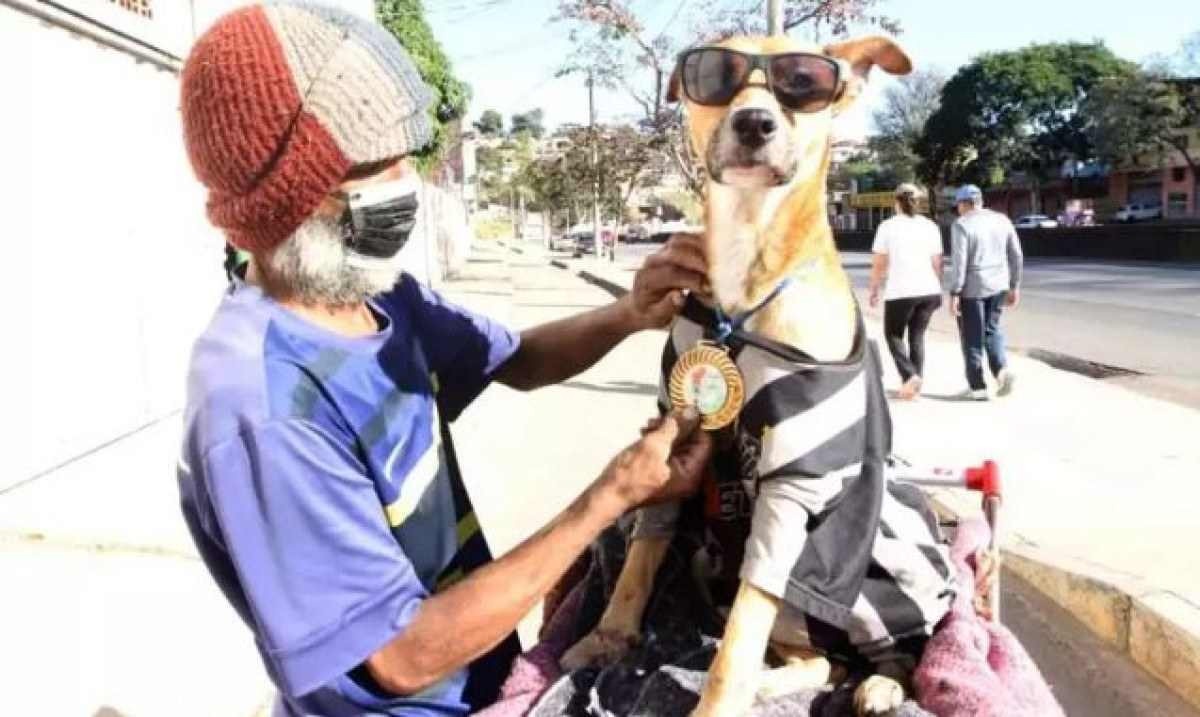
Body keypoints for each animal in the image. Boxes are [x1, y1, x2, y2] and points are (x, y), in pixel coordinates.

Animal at [559, 35, 955, 717]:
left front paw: (716, 703)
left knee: (882, 651)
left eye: (804, 82)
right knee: (819, 659)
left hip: (864, 577)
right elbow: (642, 551)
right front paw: (608, 638)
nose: (754, 123)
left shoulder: (796, 480)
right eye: (713, 73)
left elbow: (744, 627)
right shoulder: (675, 427)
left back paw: (877, 684)